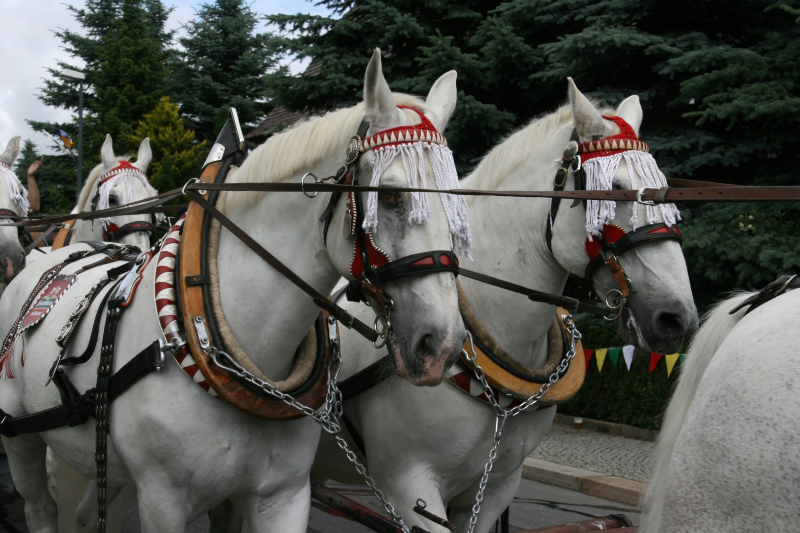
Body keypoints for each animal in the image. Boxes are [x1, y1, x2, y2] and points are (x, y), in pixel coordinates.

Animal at [0, 50, 466, 533]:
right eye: (390, 196)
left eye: (458, 200)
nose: (442, 345)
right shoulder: (162, 503)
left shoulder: (283, 497)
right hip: (19, 437)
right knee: (40, 508)